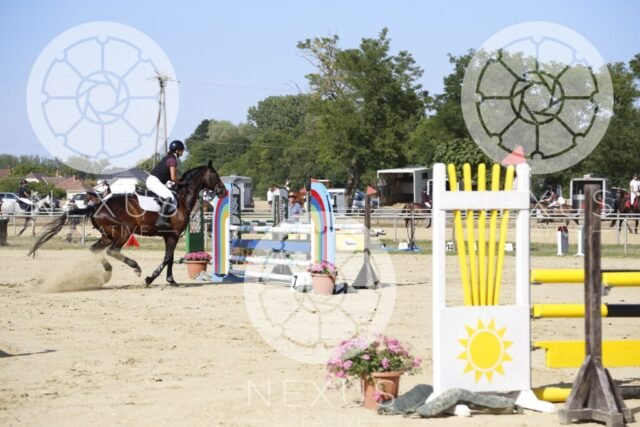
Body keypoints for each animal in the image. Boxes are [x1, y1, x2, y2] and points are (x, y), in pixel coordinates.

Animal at [28, 161, 226, 286]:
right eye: (215, 175)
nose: (222, 191)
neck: (182, 199)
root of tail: (97, 205)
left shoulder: (169, 236)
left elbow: (169, 259)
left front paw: (170, 280)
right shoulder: (174, 235)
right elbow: (167, 258)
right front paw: (151, 279)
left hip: (108, 234)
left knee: (95, 249)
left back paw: (107, 273)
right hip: (123, 231)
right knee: (112, 251)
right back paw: (135, 267)